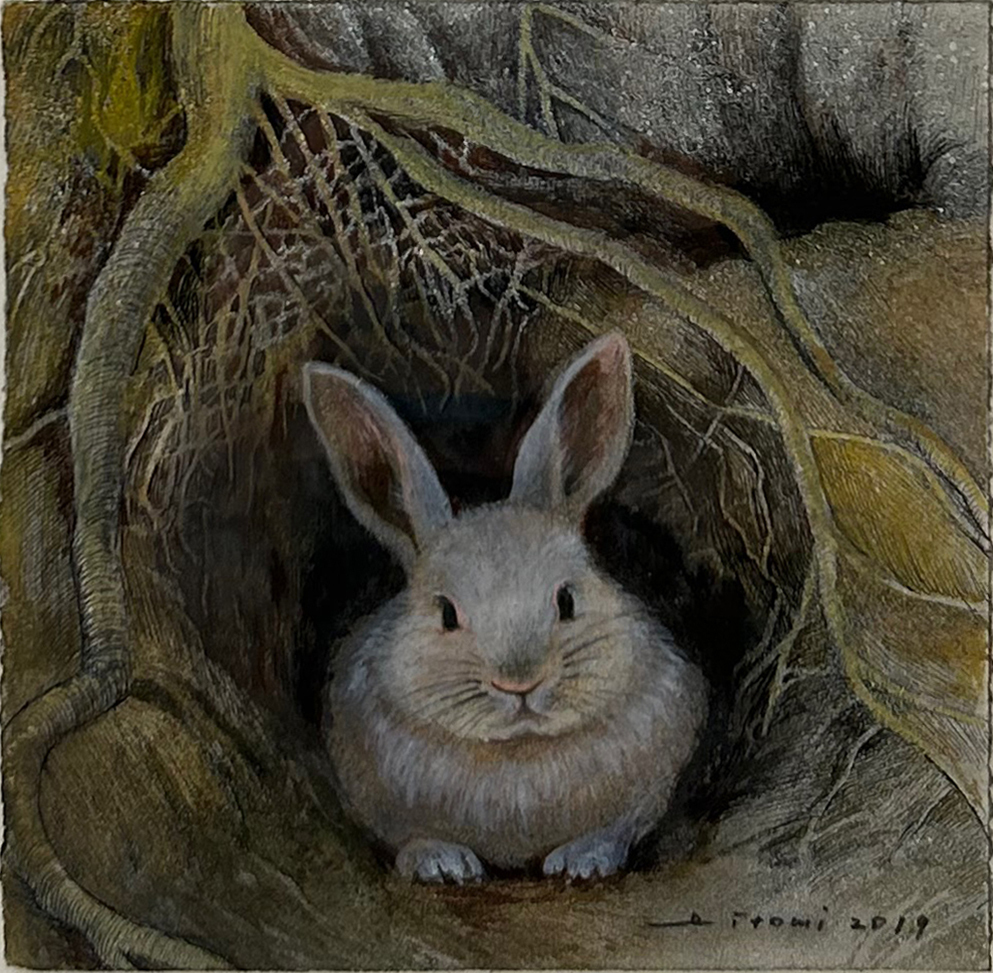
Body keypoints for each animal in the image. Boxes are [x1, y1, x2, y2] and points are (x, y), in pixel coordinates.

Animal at [302, 332, 708, 884]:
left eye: (566, 599)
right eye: (447, 614)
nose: (520, 683)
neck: (517, 752)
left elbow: (618, 829)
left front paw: (583, 862)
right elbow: (409, 837)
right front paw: (440, 863)